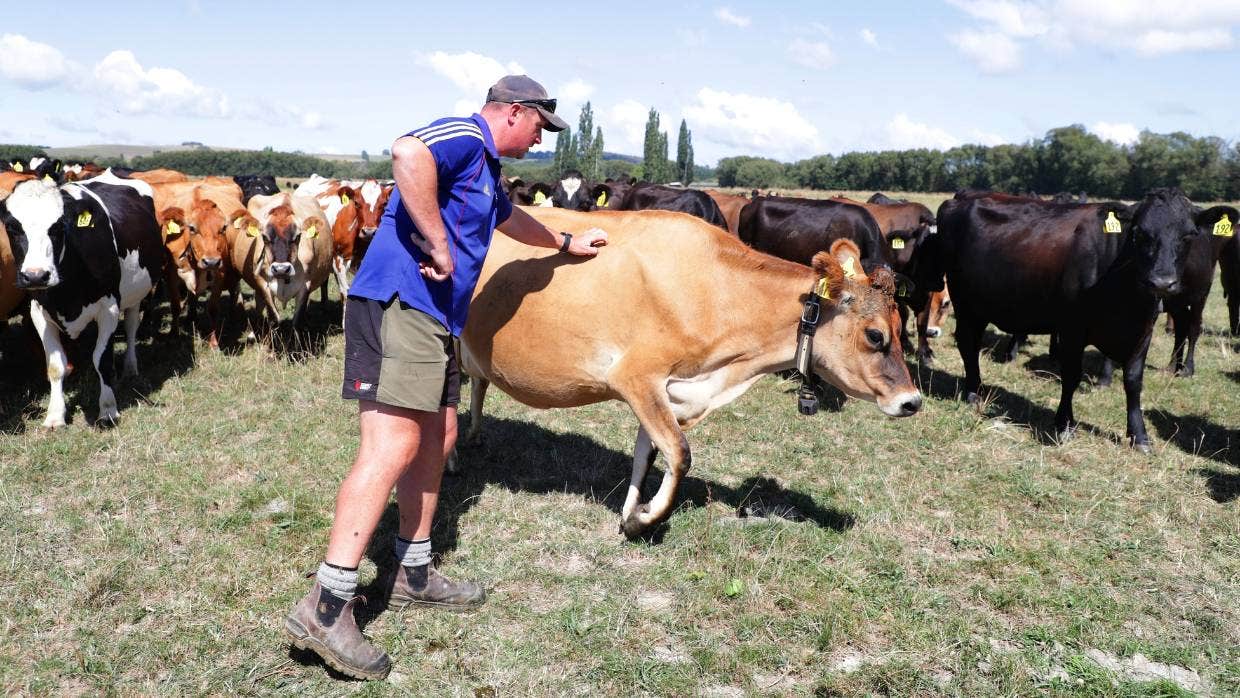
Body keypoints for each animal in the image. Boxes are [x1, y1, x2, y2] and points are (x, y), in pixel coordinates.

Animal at [0, 172, 164, 428]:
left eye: (59, 226)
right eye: (12, 227)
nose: (36, 275)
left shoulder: (109, 308)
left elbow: (102, 360)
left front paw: (108, 411)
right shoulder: (39, 312)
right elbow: (55, 365)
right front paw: (55, 415)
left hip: (135, 293)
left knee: (131, 327)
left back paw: (130, 367)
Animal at [463, 207, 922, 540]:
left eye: (902, 328)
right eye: (876, 335)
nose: (912, 401)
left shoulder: (668, 390)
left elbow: (650, 455)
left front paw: (632, 511)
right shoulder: (635, 375)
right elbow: (680, 453)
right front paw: (644, 520)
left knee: (478, 381)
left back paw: (474, 436)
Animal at [927, 188, 1235, 451]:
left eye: (1189, 235)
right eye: (1140, 233)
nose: (1161, 282)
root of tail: (964, 195)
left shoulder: (1143, 332)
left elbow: (1134, 382)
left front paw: (1139, 436)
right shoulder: (1072, 329)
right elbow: (1072, 376)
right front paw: (1064, 423)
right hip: (965, 302)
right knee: (968, 344)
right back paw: (973, 393)